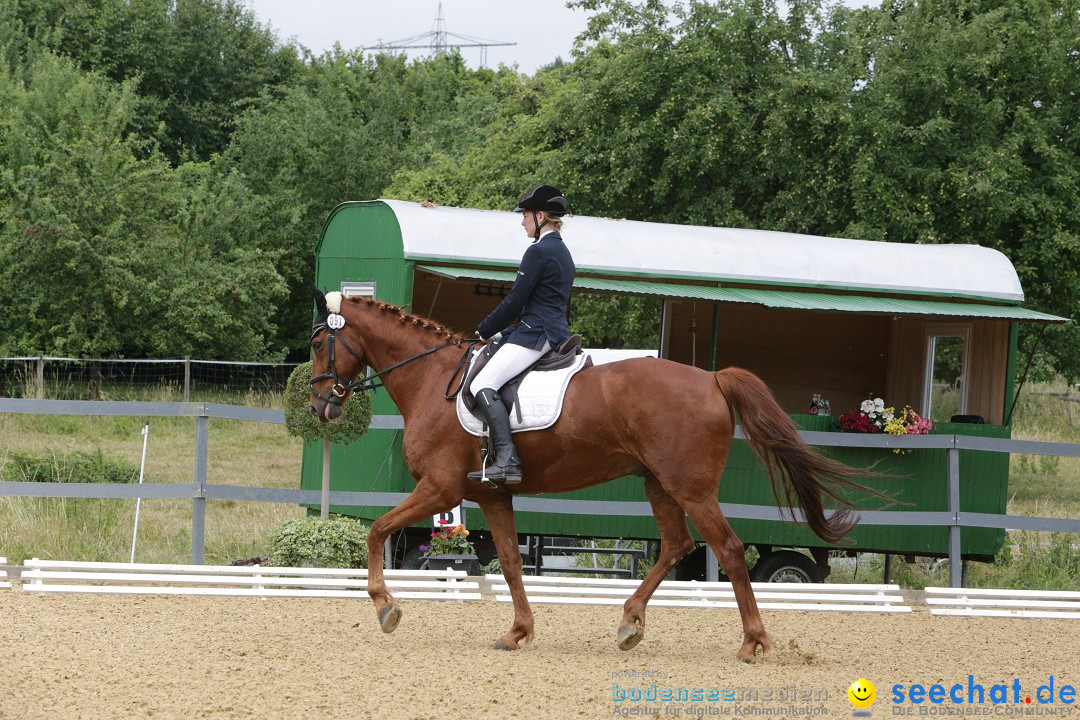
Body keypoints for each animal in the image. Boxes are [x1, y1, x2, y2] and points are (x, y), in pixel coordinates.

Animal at [308, 289, 872, 660]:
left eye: (317, 345)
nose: (318, 407)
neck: (430, 379)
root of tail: (712, 378)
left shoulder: (440, 488)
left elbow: (377, 531)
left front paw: (385, 608)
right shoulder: (490, 495)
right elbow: (510, 563)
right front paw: (517, 632)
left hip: (690, 488)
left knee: (729, 550)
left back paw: (752, 641)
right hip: (658, 483)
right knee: (676, 544)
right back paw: (629, 623)